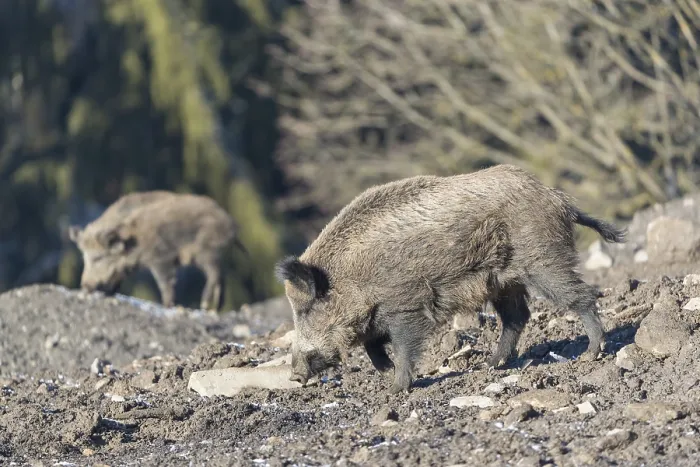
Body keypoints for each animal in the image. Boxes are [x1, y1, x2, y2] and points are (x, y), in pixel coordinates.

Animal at [68, 190, 247, 310]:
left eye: (98, 257)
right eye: (83, 257)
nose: (84, 286)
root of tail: (232, 225)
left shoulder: (160, 257)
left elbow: (165, 282)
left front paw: (168, 305)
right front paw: (109, 294)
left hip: (206, 251)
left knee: (214, 274)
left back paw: (204, 304)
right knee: (222, 276)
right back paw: (216, 308)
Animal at [275, 164, 627, 394]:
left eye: (305, 309)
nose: (294, 376)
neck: (352, 276)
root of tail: (559, 199)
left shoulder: (404, 305)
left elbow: (403, 346)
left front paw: (395, 389)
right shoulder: (377, 316)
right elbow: (374, 347)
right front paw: (387, 376)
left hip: (543, 260)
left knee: (581, 295)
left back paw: (590, 353)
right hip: (503, 281)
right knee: (517, 317)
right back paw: (491, 365)